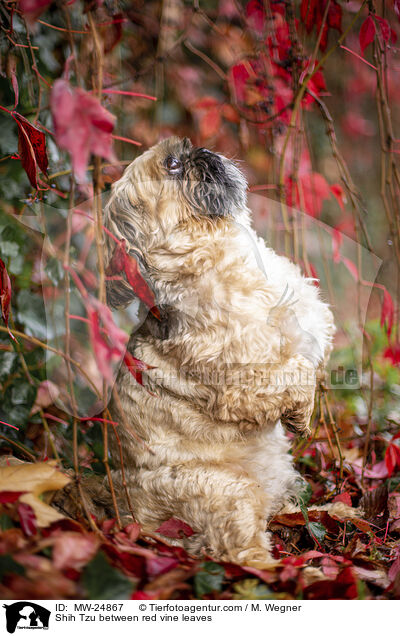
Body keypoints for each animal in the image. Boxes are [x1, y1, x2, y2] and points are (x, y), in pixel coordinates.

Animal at [102, 138, 338, 568]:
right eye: (172, 164)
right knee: (241, 553)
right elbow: (296, 372)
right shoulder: (243, 381)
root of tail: (130, 517)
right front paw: (301, 416)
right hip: (228, 493)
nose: (202, 153)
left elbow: (312, 356)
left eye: (187, 150)